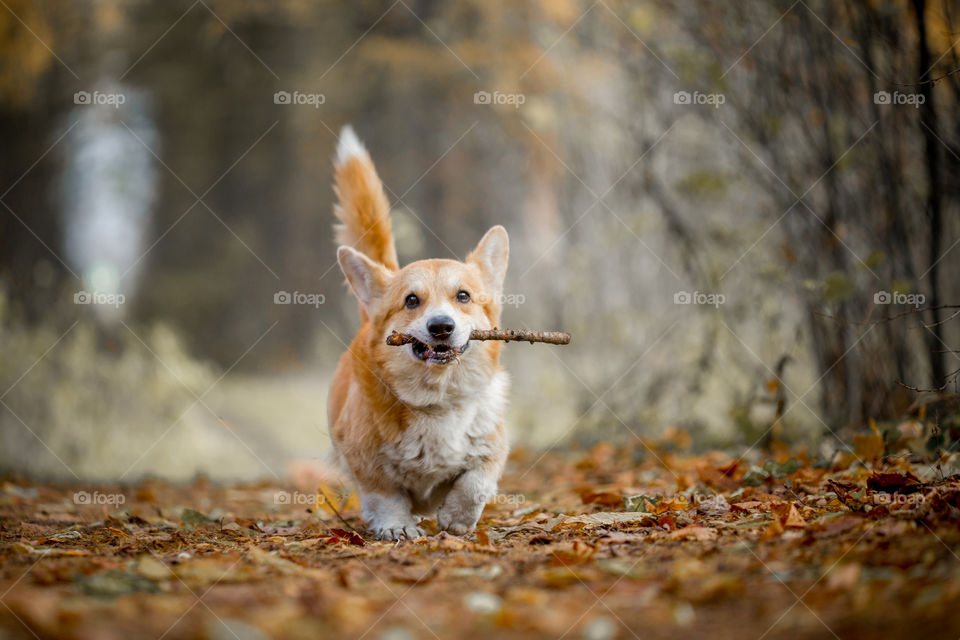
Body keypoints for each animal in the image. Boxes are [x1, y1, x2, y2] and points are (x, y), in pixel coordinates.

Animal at [328, 125, 510, 540]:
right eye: (411, 300)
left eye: (463, 296)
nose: (441, 326)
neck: (436, 400)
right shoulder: (365, 459)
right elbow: (385, 495)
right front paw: (397, 527)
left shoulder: (493, 446)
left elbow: (475, 483)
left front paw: (457, 518)